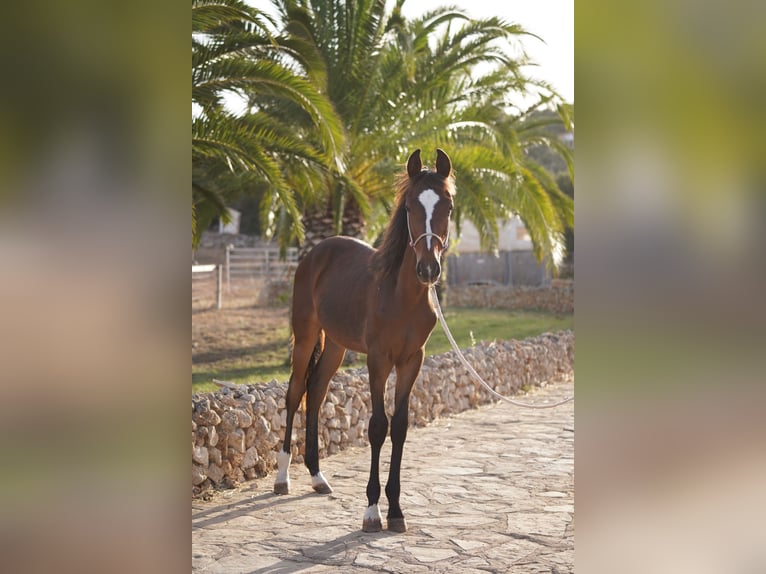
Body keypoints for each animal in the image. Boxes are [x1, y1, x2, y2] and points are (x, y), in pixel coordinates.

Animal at [273, 148, 455, 533]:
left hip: (336, 346)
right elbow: (377, 426)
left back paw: (317, 476)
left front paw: (396, 511)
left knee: (316, 391)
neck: (401, 295)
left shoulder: (412, 360)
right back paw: (283, 478)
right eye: (409, 207)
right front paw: (372, 510)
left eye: (447, 205)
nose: (428, 269)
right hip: (306, 336)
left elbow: (399, 426)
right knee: (295, 392)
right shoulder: (378, 359)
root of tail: (316, 252)